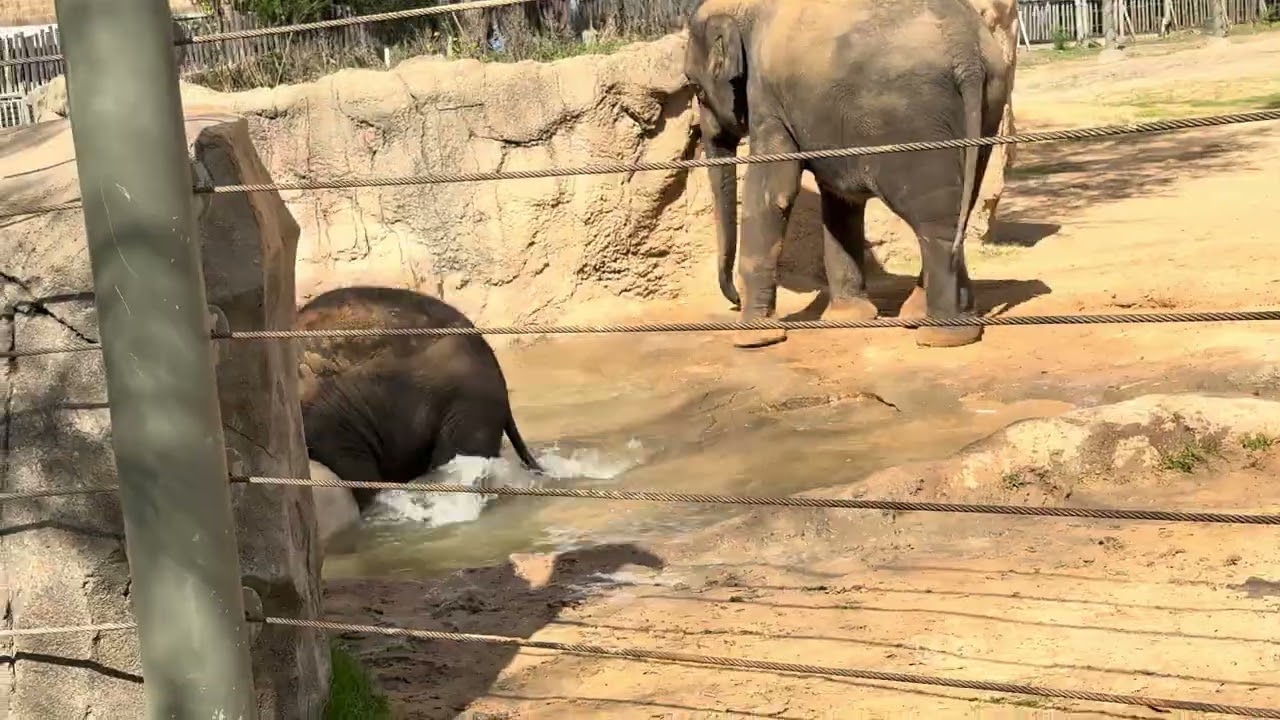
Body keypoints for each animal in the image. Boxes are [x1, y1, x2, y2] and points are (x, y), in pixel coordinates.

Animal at [685, 0, 1011, 349]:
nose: (733, 299)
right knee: (962, 199)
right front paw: (848, 318)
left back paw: (943, 336)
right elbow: (839, 200)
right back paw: (931, 317)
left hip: (913, 119)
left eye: (696, 89)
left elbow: (771, 192)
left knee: (934, 216)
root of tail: (967, 52)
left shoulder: (766, 100)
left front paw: (752, 339)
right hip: (989, 104)